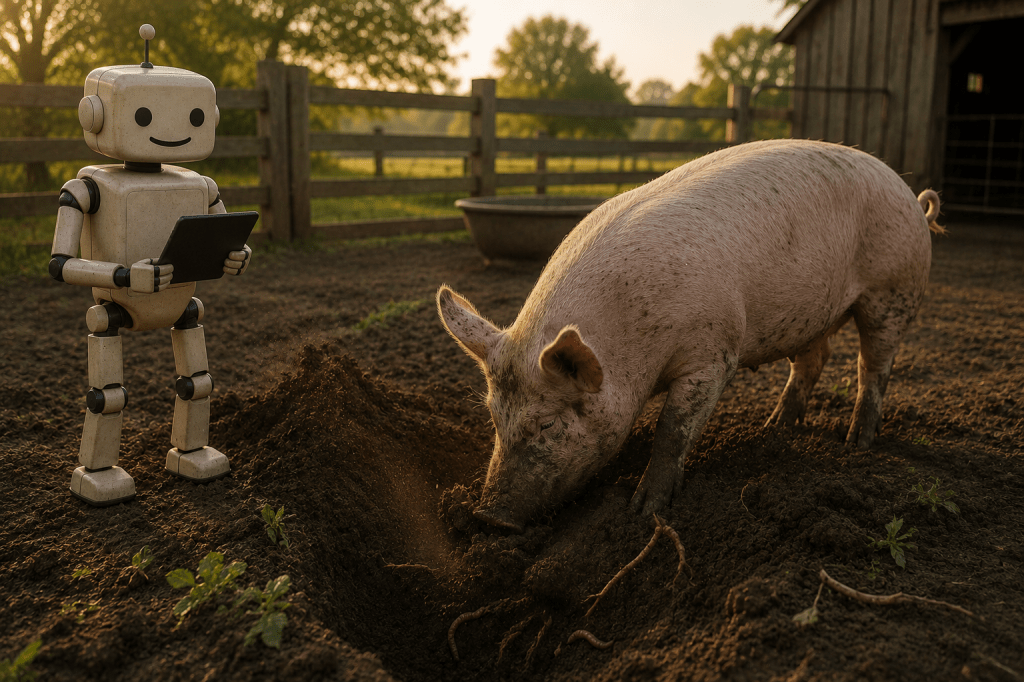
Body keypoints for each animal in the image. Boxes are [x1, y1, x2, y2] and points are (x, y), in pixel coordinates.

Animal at [438, 138, 943, 532]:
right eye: (494, 418)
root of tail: (911, 197)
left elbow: (673, 429)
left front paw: (643, 512)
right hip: (814, 312)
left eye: (546, 423)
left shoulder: (713, 353)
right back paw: (775, 427)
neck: (629, 355)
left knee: (873, 365)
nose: (489, 518)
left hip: (892, 290)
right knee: (813, 361)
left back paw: (857, 441)